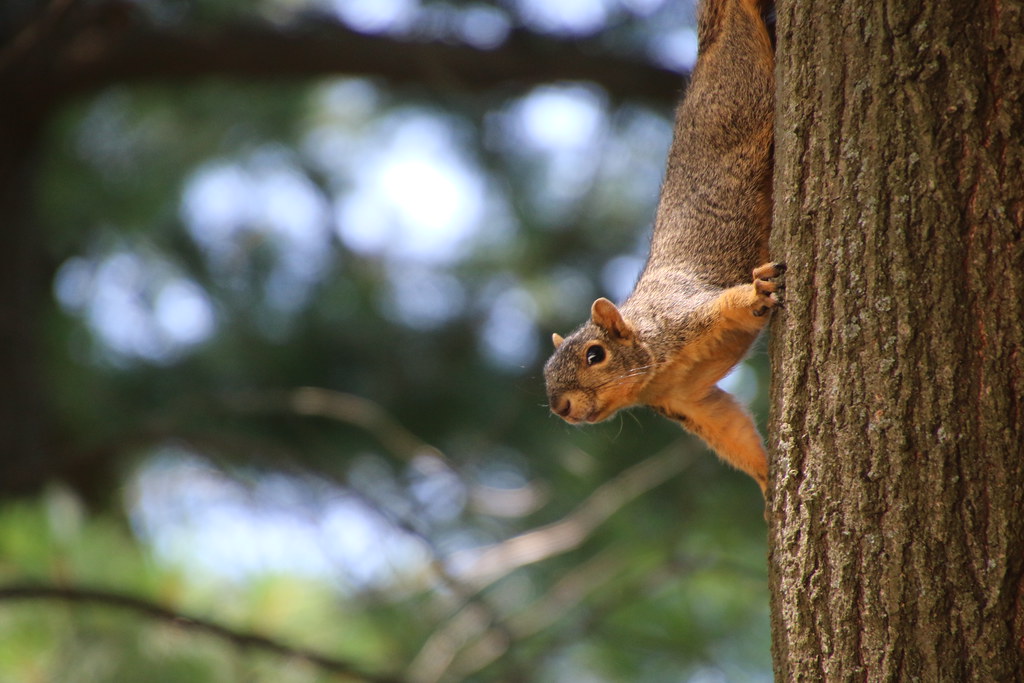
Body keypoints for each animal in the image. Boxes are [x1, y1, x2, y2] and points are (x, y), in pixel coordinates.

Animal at [543, 0, 779, 495]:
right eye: (546, 372)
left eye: (595, 355)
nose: (561, 408)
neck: (654, 369)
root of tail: (709, 49)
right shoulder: (688, 402)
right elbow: (732, 430)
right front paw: (768, 482)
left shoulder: (683, 313)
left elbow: (731, 305)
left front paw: (755, 291)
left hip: (748, 93)